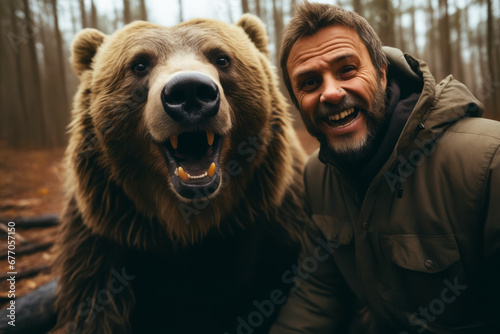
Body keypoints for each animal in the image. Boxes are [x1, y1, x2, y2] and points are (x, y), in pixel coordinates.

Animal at [52, 13, 306, 334]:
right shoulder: (104, 234)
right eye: (139, 64)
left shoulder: (272, 219)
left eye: (222, 58)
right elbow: (94, 308)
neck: (187, 223)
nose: (189, 92)